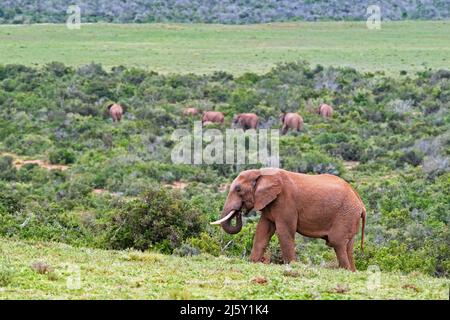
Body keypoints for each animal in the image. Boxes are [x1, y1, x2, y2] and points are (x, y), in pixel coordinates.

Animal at [211, 169, 366, 272]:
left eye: (238, 189)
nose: (239, 211)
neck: (262, 173)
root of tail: (361, 203)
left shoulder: (285, 200)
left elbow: (284, 232)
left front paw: (292, 266)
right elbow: (263, 230)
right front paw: (253, 262)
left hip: (345, 214)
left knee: (337, 242)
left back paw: (344, 270)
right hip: (350, 216)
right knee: (348, 246)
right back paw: (352, 271)